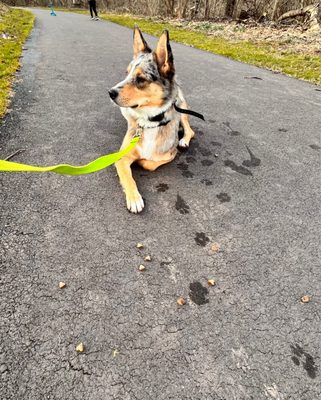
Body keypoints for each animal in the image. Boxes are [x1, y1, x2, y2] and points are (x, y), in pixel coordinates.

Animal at [109, 26, 195, 214]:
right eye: (126, 73)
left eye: (140, 79)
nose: (110, 93)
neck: (149, 122)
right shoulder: (121, 158)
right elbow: (128, 177)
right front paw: (134, 198)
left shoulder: (170, 155)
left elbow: (150, 164)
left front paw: (142, 162)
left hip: (181, 109)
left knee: (189, 129)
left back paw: (184, 139)